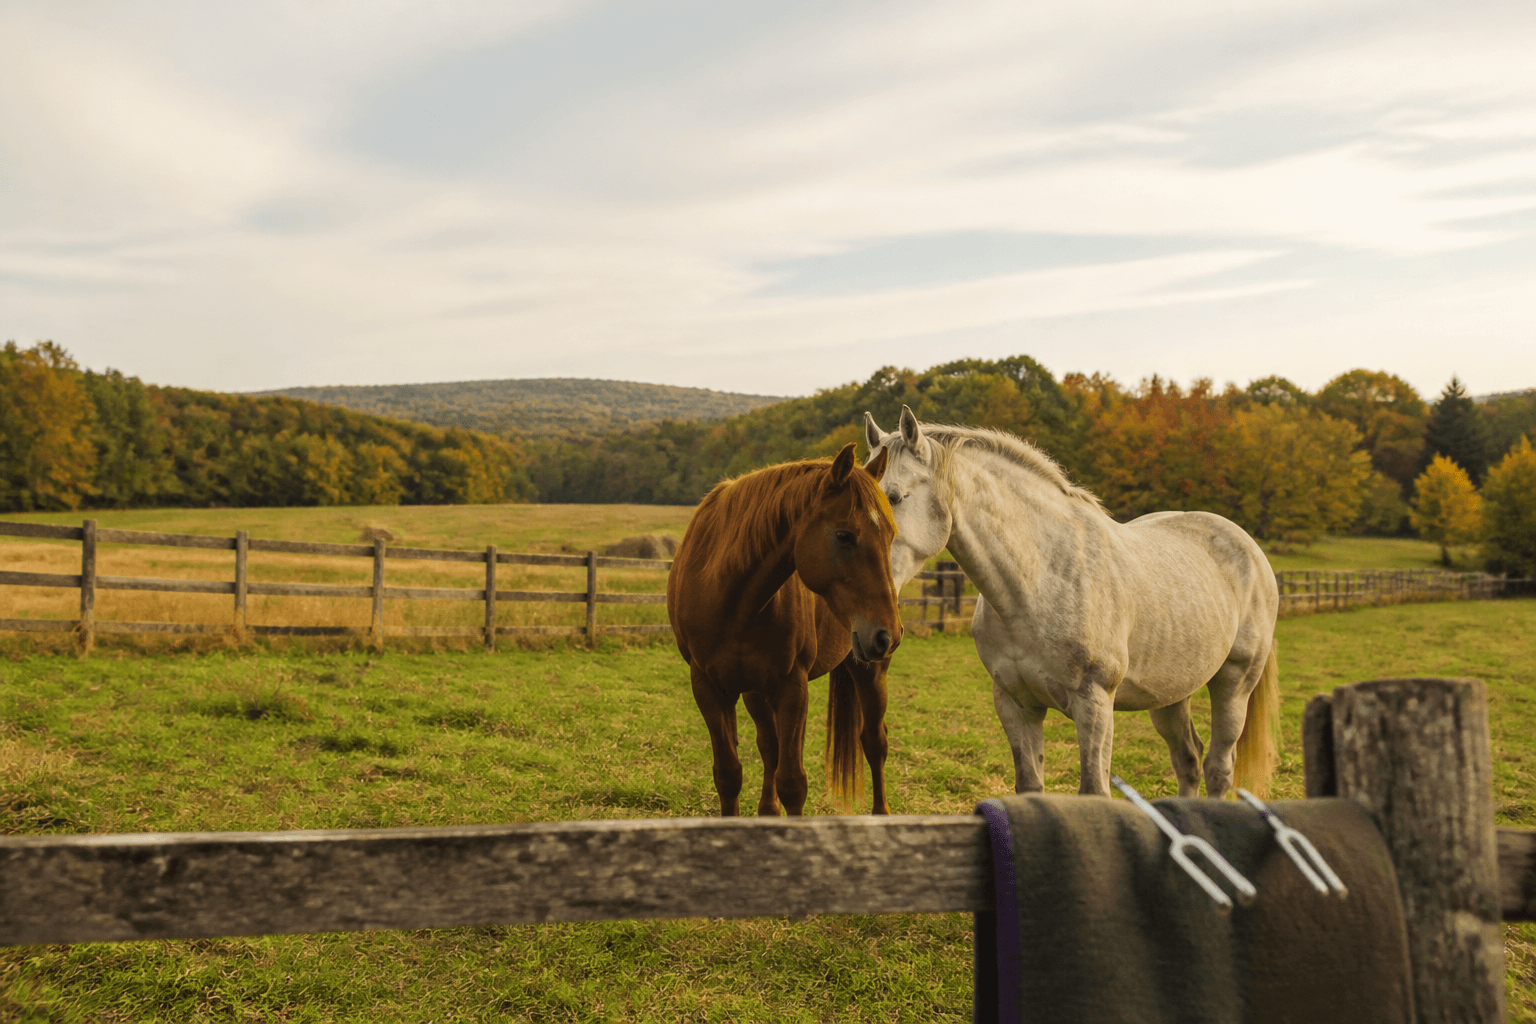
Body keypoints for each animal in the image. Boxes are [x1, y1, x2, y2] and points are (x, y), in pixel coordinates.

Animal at [668, 442, 904, 817]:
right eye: (844, 536)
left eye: (891, 535)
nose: (888, 636)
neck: (729, 596)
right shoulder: (709, 687)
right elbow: (730, 774)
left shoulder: (792, 686)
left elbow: (793, 783)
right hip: (755, 690)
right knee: (770, 746)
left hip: (869, 672)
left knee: (874, 742)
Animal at [862, 407, 1281, 799]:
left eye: (894, 497)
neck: (1038, 580)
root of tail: (1249, 548)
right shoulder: (1016, 703)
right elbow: (1031, 786)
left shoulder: (1094, 704)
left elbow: (1094, 789)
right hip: (1170, 695)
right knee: (1188, 761)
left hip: (1234, 685)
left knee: (1218, 768)